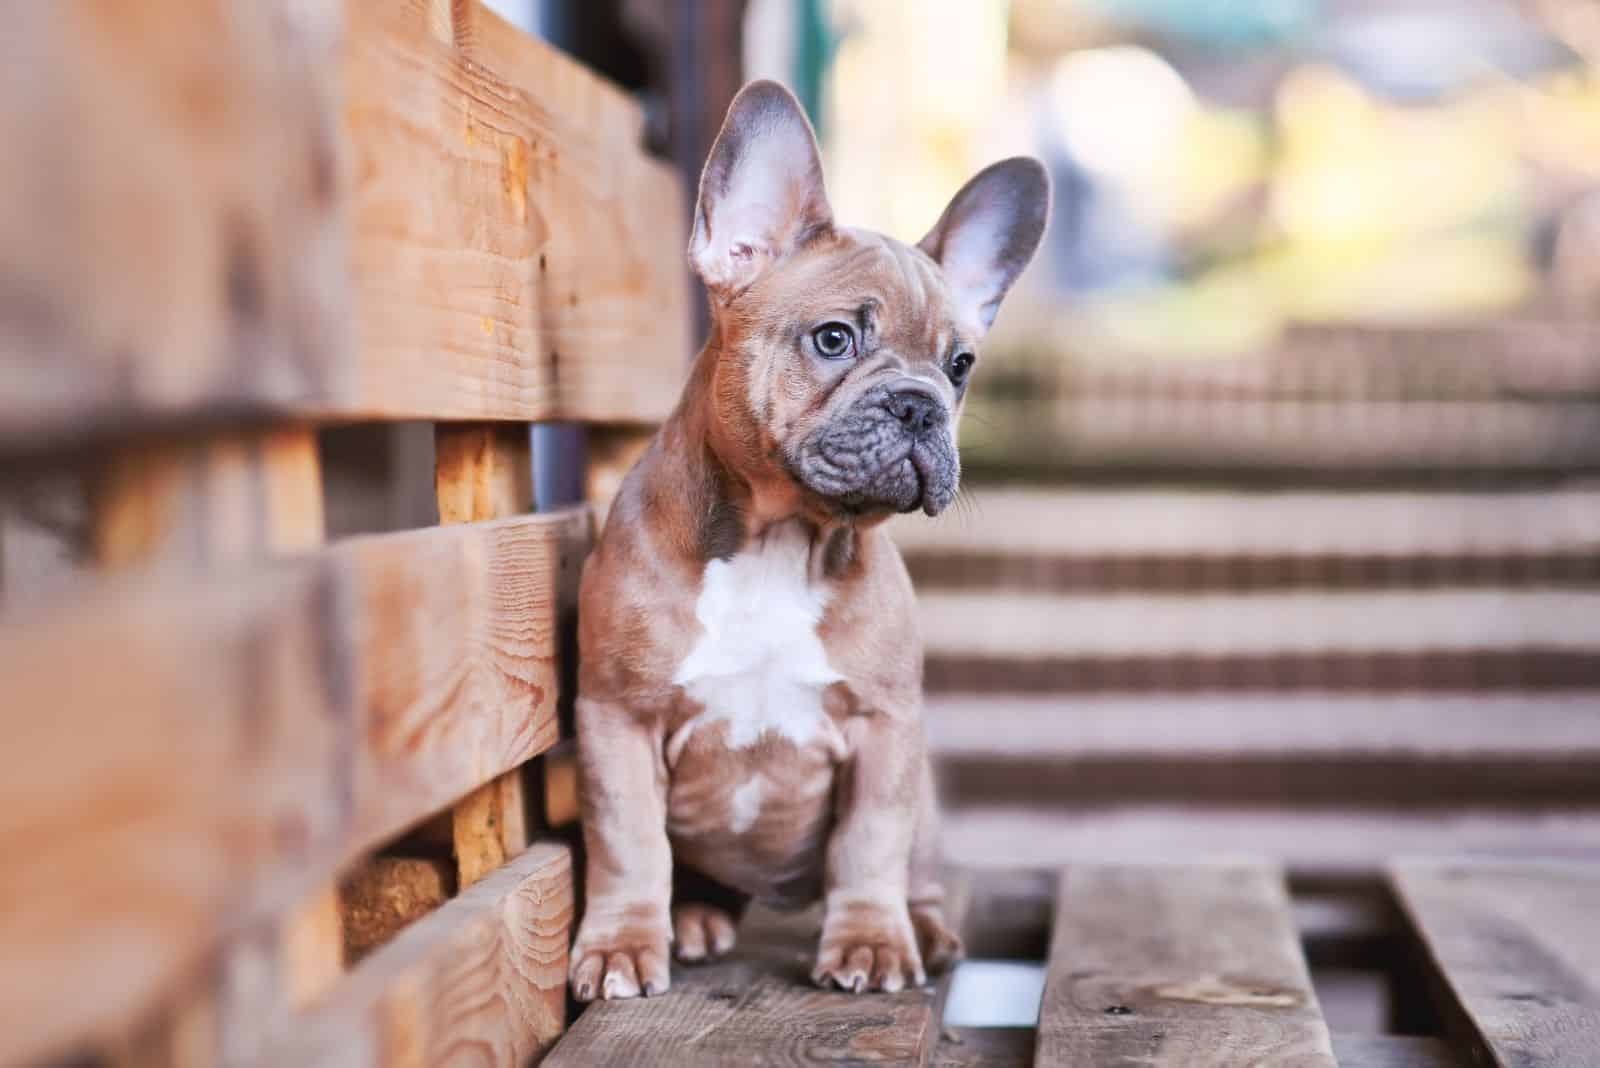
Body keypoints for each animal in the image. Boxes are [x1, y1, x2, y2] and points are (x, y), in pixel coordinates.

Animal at [566, 77, 1049, 1004]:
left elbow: (869, 846)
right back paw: (697, 918)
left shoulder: (884, 728)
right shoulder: (618, 718)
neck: (780, 544)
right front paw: (621, 945)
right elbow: (629, 844)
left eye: (961, 366)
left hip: (925, 802)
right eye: (835, 339)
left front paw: (871, 943)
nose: (920, 405)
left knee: (914, 869)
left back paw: (924, 931)